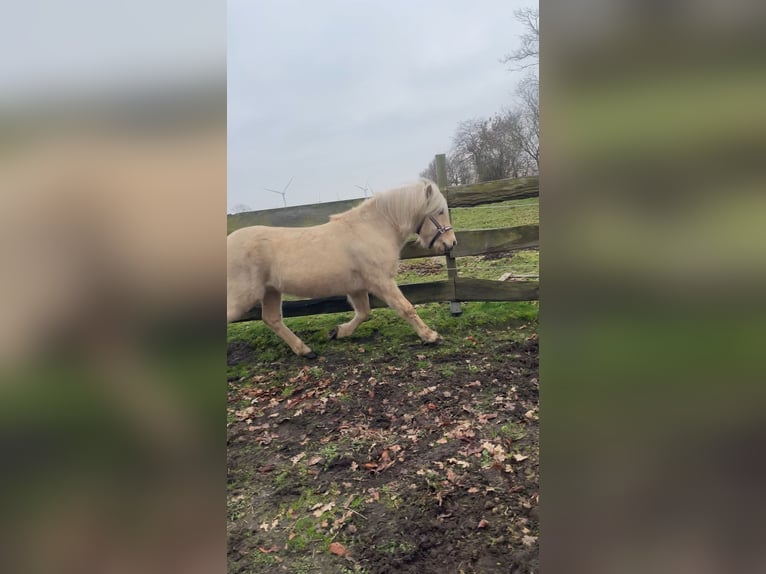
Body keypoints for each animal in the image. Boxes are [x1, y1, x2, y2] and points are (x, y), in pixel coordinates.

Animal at [227, 178, 457, 358]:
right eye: (439, 211)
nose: (451, 243)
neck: (373, 229)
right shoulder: (381, 281)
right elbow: (406, 307)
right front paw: (431, 336)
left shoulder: (357, 287)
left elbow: (363, 312)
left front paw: (337, 332)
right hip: (245, 296)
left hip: (271, 291)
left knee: (272, 320)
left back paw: (305, 351)